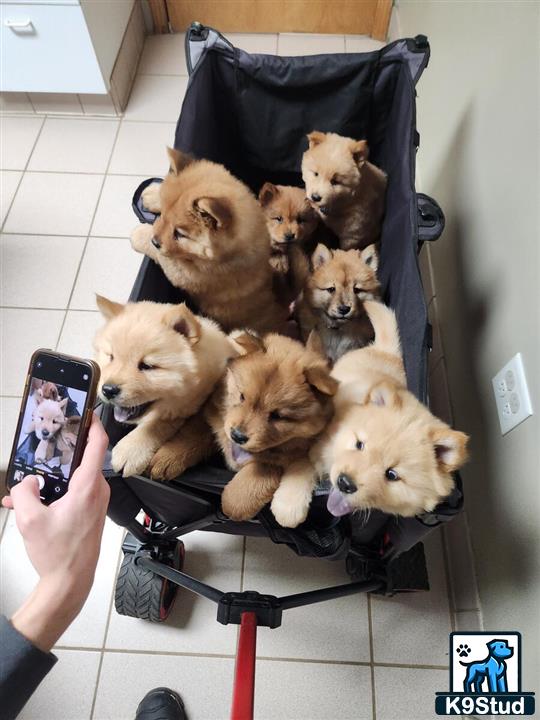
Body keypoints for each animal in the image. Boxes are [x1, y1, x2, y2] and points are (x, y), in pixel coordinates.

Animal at [130, 150, 286, 336]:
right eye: (162, 216)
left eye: (179, 234)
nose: (156, 241)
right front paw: (152, 194)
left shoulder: (188, 274)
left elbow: (162, 255)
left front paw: (139, 234)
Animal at [272, 300, 470, 528]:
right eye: (359, 445)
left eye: (392, 474)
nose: (345, 483)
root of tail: (388, 352)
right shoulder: (317, 440)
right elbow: (302, 464)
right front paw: (289, 505)